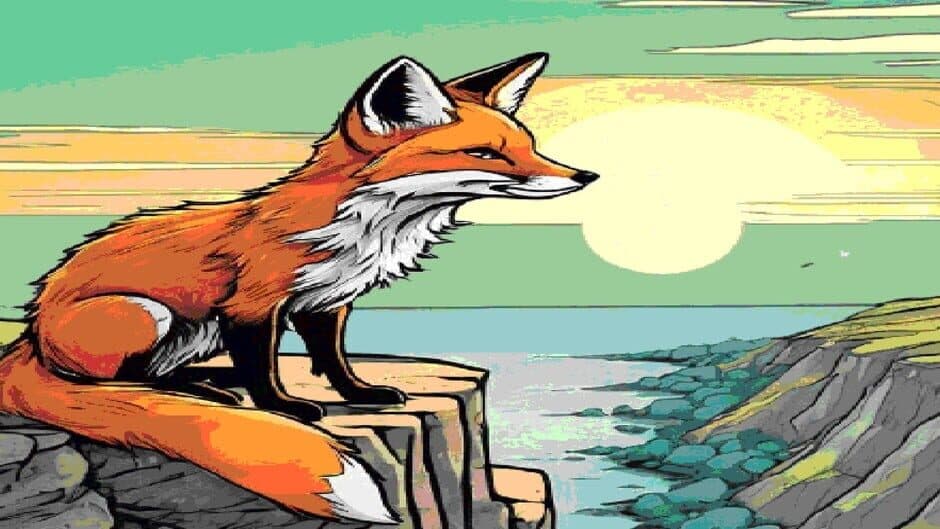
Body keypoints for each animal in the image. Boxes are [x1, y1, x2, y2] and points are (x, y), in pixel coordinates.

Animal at [0, 52, 598, 524]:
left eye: (529, 145)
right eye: (484, 154)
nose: (586, 177)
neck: (368, 227)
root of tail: (30, 335)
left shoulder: (327, 301)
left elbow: (332, 360)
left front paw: (360, 393)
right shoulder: (253, 304)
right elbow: (264, 367)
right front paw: (284, 406)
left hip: (191, 332)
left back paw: (207, 380)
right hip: (147, 314)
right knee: (115, 381)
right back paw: (200, 390)